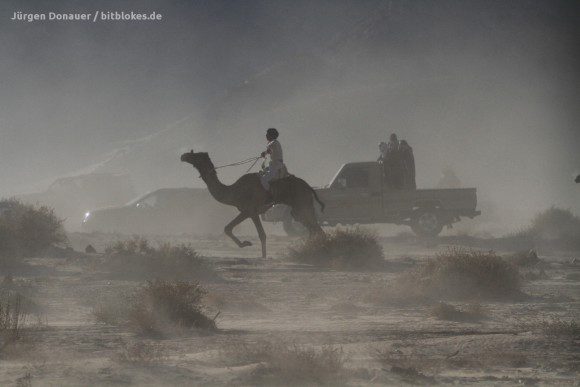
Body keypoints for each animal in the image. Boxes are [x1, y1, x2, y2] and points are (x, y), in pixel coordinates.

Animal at [180, 151, 324, 258]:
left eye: (196, 155)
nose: (183, 156)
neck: (234, 191)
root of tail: (309, 187)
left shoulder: (250, 211)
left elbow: (258, 234)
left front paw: (250, 246)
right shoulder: (249, 212)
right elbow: (232, 229)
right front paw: (249, 245)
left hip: (302, 203)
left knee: (316, 228)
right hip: (299, 209)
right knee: (313, 228)